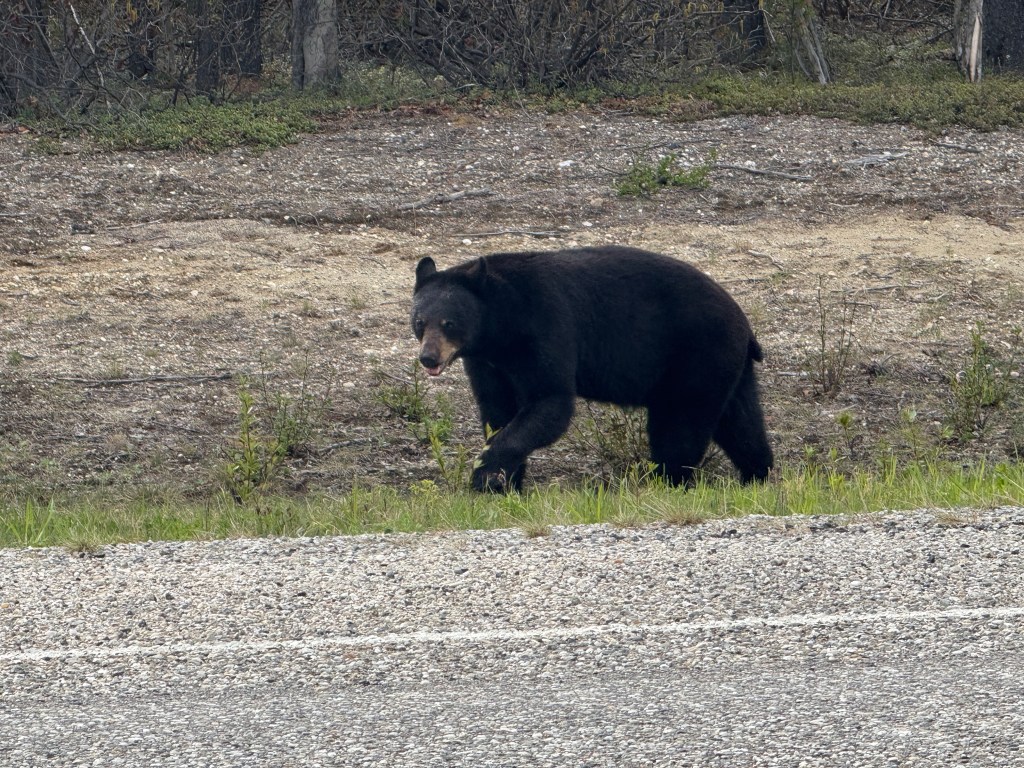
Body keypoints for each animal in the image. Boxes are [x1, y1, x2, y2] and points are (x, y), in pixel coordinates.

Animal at [411, 245, 773, 492]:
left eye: (449, 322)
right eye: (419, 322)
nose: (429, 358)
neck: (501, 325)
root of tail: (744, 323)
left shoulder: (545, 325)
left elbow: (550, 402)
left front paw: (485, 470)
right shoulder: (487, 360)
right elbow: (496, 409)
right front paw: (502, 483)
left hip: (696, 355)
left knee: (680, 425)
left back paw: (668, 480)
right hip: (727, 366)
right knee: (741, 422)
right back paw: (756, 475)